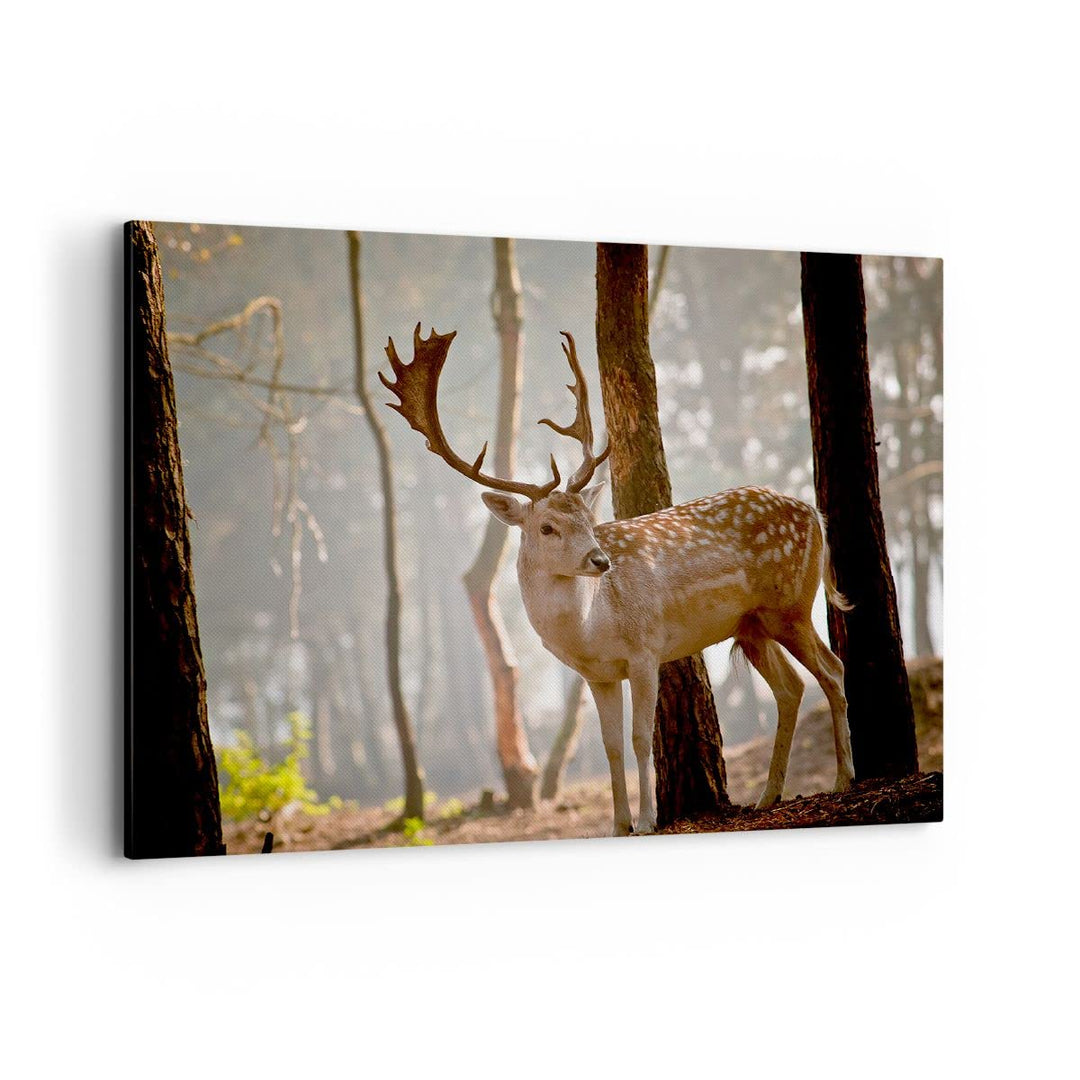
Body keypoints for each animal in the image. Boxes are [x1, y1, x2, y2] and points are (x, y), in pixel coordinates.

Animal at [382, 324, 855, 836]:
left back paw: (843, 778)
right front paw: (618, 824)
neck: (591, 629)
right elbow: (610, 746)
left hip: (790, 604)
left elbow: (639, 737)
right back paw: (768, 796)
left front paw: (647, 820)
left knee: (832, 669)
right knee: (791, 688)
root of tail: (816, 514)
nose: (600, 560)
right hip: (751, 625)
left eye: (589, 518)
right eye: (547, 527)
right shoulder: (598, 675)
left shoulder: (645, 650)